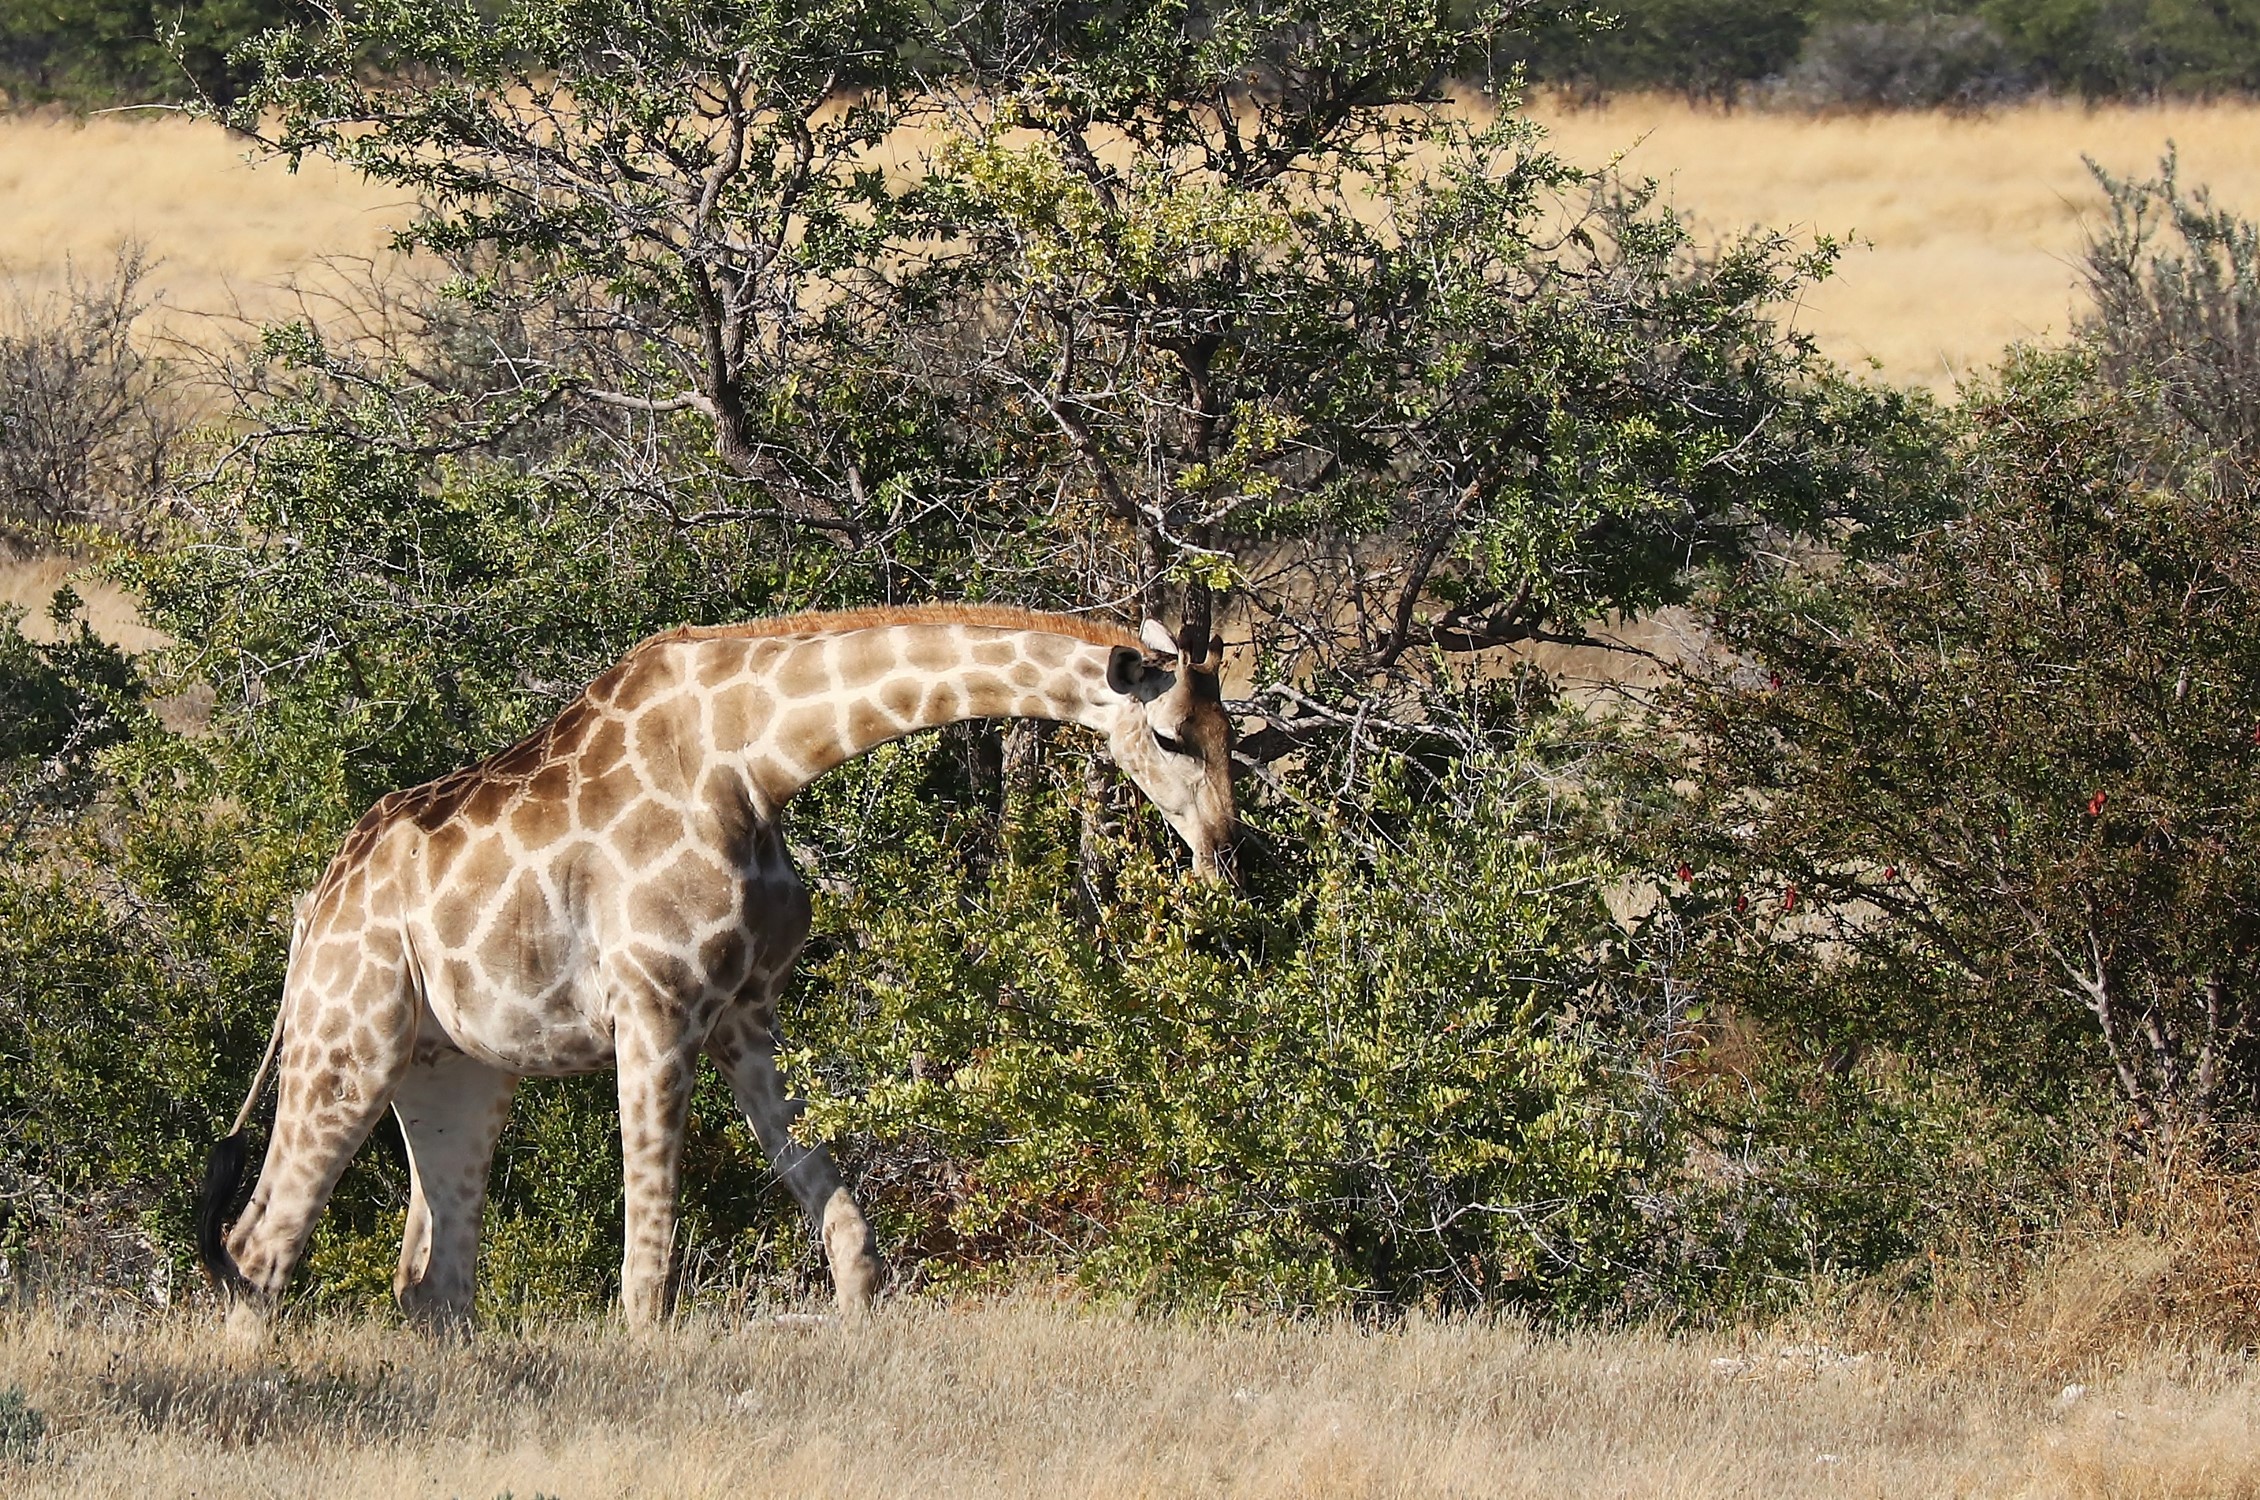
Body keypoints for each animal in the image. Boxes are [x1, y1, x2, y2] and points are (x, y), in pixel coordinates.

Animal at [195, 605, 1233, 1332]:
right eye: (1171, 735)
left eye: (1235, 729)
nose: (1224, 851)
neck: (755, 759)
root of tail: (312, 910)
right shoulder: (658, 1007)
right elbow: (648, 1264)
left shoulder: (746, 1011)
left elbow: (843, 1225)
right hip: (347, 1038)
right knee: (260, 1245)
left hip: (455, 1070)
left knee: (430, 1280)